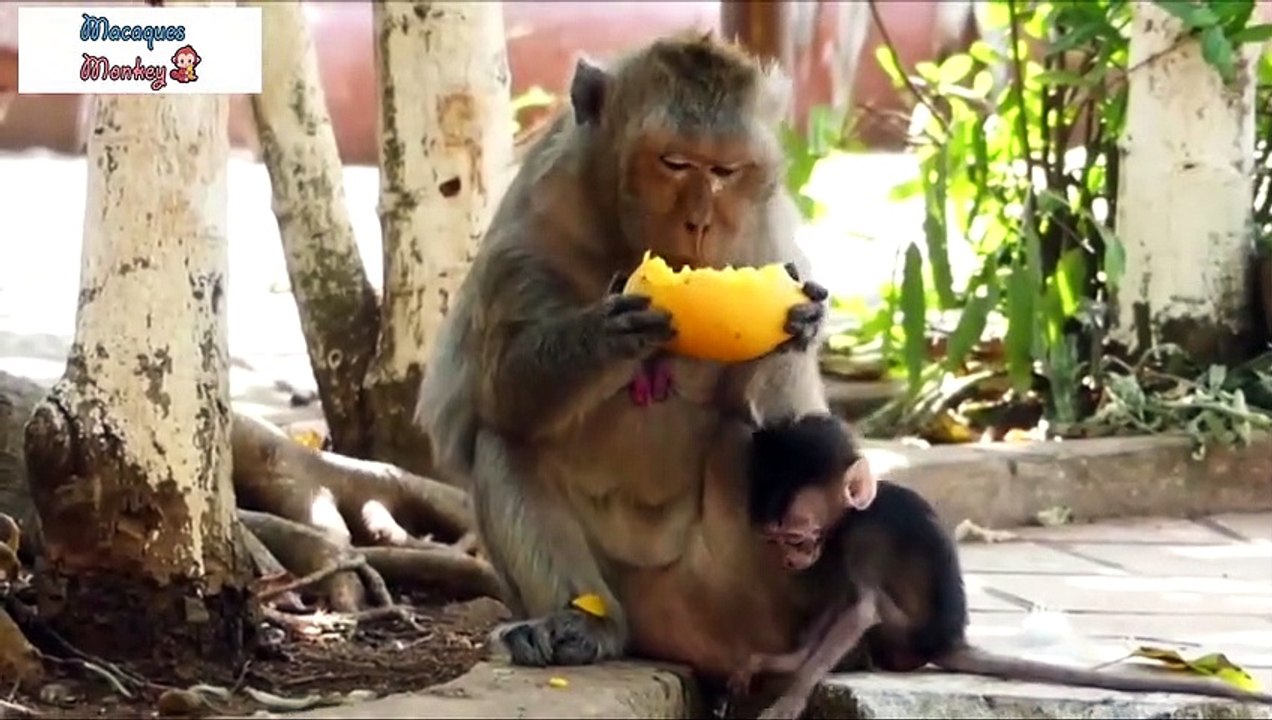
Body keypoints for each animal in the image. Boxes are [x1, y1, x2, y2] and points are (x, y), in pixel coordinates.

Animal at [415, 31, 835, 668]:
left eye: (726, 170)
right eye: (675, 163)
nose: (699, 221)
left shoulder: (768, 240)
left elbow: (781, 412)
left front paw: (801, 324)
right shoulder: (531, 232)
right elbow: (503, 393)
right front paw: (606, 334)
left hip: (733, 585)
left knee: (754, 441)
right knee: (504, 443)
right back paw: (581, 623)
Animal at [731, 414, 1272, 720]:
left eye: (796, 537)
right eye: (776, 540)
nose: (791, 557)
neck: (859, 509)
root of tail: (947, 641)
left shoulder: (860, 537)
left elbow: (859, 609)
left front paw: (791, 696)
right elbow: (840, 606)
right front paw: (777, 663)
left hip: (904, 639)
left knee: (874, 609)